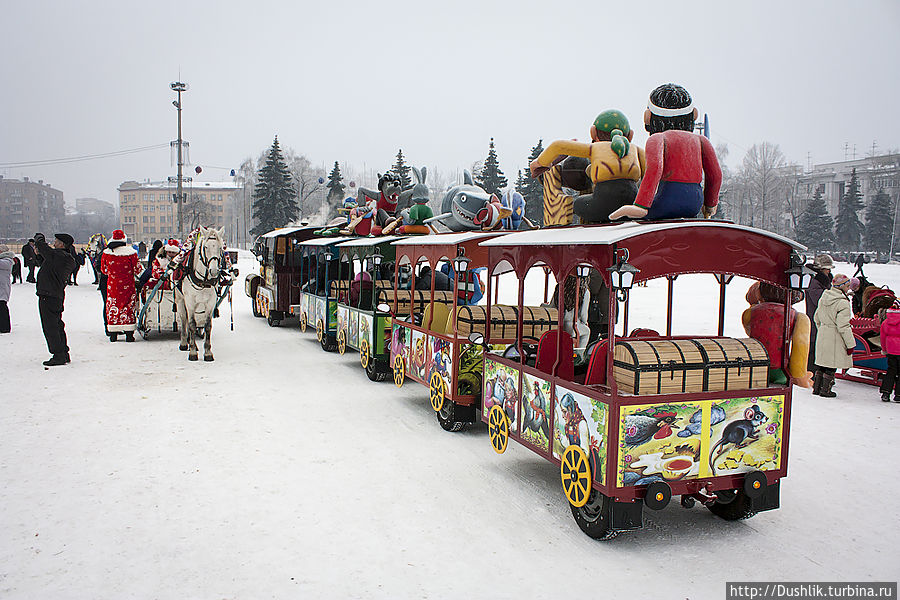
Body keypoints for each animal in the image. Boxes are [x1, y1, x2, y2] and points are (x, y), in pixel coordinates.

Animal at [175, 226, 225, 360]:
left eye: (220, 247)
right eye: (205, 247)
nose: (214, 270)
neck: (203, 280)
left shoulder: (210, 303)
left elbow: (207, 326)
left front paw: (207, 352)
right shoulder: (190, 302)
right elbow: (192, 324)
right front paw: (192, 352)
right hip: (181, 300)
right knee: (184, 319)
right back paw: (184, 343)